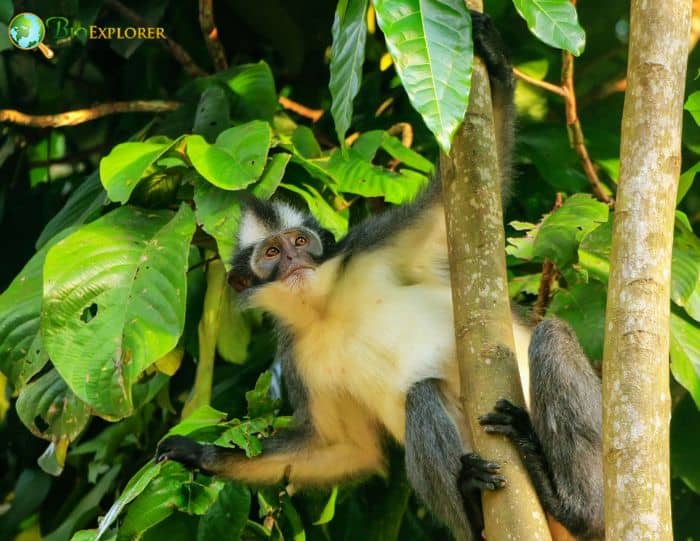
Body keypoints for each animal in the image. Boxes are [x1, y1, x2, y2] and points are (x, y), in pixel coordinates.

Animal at [156, 9, 604, 540]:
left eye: (301, 243)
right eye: (271, 253)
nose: (295, 265)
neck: (327, 308)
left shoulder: (373, 242)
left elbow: (474, 190)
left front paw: (492, 57)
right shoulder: (299, 357)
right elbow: (346, 449)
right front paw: (201, 456)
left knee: (548, 336)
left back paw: (573, 503)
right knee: (422, 394)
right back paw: (473, 503)